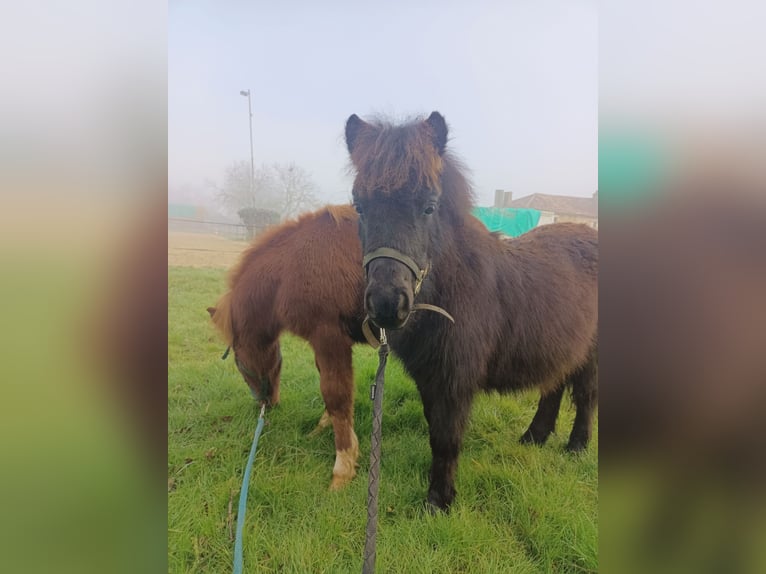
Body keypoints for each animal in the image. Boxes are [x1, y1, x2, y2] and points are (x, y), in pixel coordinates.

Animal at [208, 206, 368, 490]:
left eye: (239, 362)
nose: (266, 403)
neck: (291, 266)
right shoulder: (323, 345)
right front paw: (326, 427)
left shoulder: (330, 339)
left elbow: (336, 395)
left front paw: (343, 469)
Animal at [346, 112, 600, 512]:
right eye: (359, 206)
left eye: (429, 207)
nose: (387, 304)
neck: (453, 290)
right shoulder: (429, 378)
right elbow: (434, 428)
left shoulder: (455, 379)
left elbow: (447, 436)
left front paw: (439, 501)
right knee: (554, 386)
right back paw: (534, 437)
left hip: (591, 354)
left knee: (586, 396)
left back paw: (576, 447)